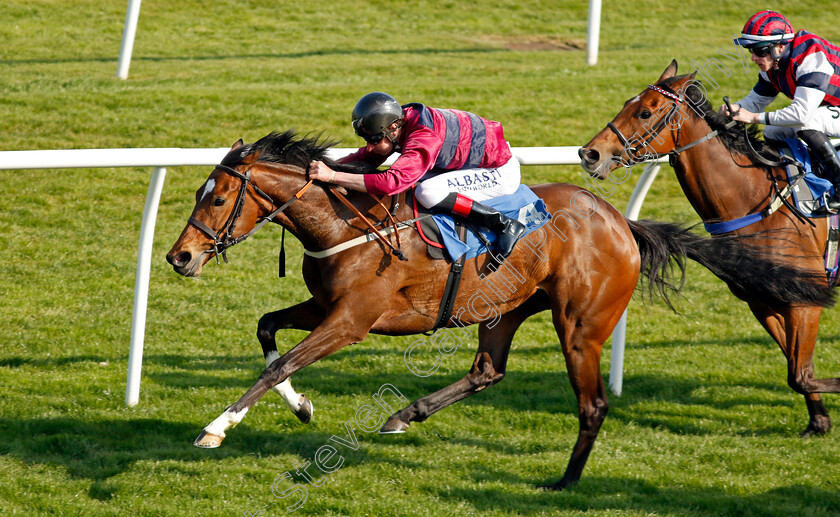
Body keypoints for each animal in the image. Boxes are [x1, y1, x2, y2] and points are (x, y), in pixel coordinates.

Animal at [167, 129, 832, 488]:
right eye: (200, 192)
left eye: (218, 197)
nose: (179, 258)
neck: (345, 225)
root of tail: (622, 223)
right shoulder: (324, 306)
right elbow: (266, 332)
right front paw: (302, 406)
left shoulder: (351, 322)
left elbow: (281, 361)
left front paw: (215, 428)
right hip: (506, 307)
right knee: (488, 370)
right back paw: (403, 415)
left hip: (579, 324)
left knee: (592, 404)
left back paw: (567, 480)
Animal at [580, 60, 840, 438]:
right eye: (628, 103)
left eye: (645, 112)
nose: (589, 153)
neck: (755, 202)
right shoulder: (762, 300)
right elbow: (798, 372)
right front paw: (819, 421)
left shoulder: (805, 301)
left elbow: (801, 374)